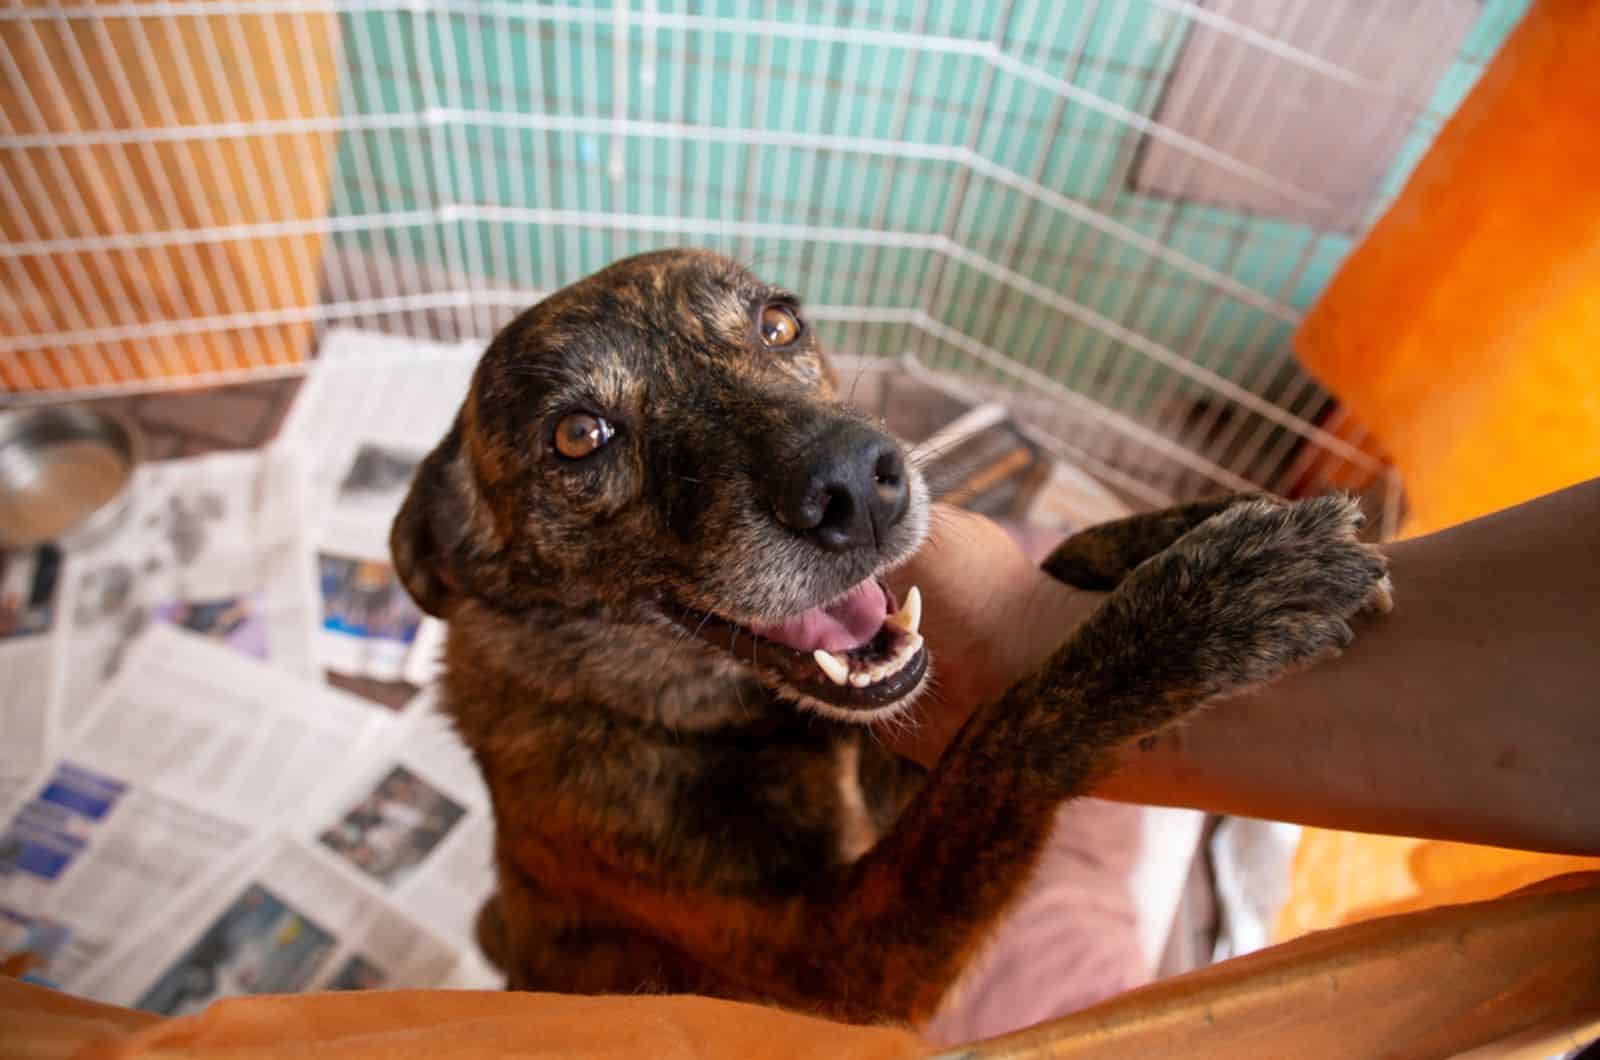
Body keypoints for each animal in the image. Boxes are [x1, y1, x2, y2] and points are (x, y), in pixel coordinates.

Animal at [384, 249, 1388, 1031]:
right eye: (579, 435)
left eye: (780, 325)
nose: (857, 487)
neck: (662, 711)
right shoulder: (837, 964)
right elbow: (1006, 740)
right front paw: (1197, 613)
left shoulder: (895, 771)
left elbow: (1053, 569)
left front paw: (1177, 527)